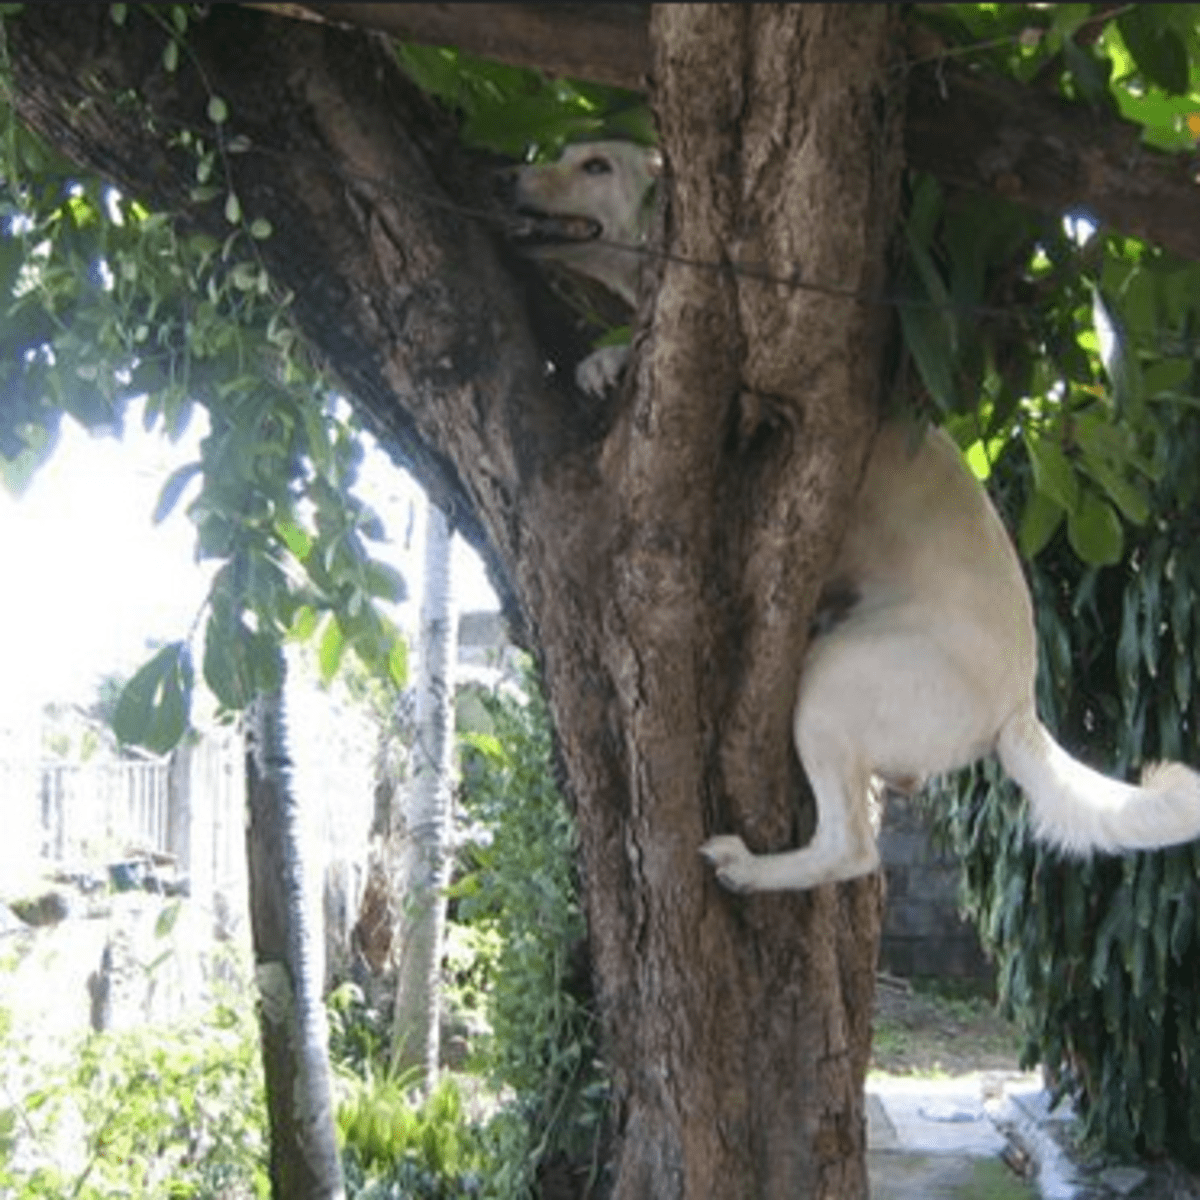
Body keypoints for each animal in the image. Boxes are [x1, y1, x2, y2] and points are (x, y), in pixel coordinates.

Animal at [511, 140, 1200, 892]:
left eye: (596, 166)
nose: (504, 176)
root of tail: (1019, 707)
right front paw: (602, 361)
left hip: (829, 687)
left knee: (850, 847)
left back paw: (751, 869)